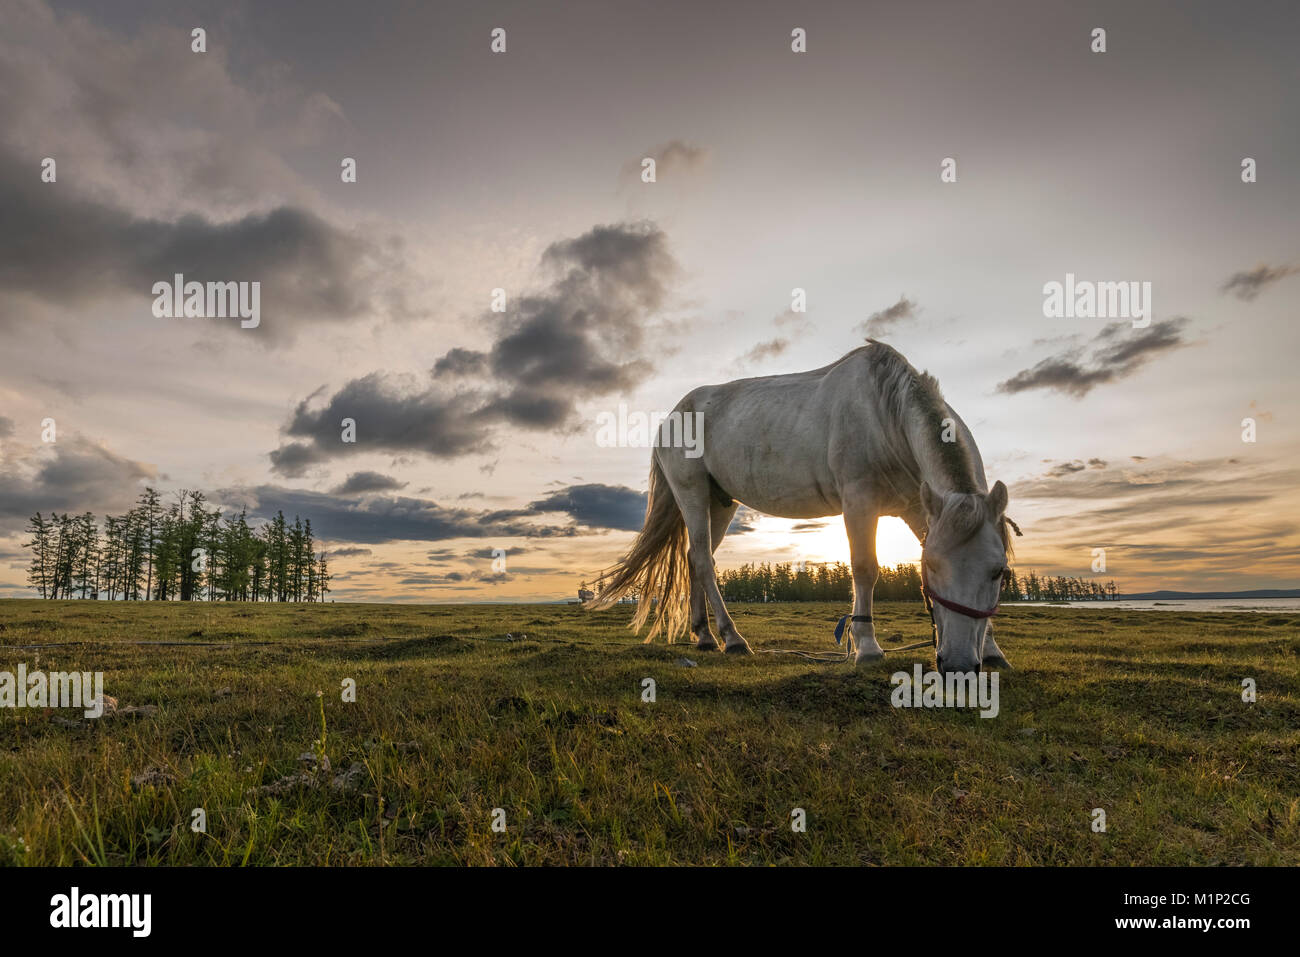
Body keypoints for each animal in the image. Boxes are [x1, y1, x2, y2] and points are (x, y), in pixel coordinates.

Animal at [595, 343, 1019, 670]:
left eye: (999, 572)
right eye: (931, 567)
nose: (960, 665)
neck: (887, 416)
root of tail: (671, 416)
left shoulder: (920, 508)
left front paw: (992, 650)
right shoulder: (859, 502)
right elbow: (865, 568)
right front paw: (867, 647)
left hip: (721, 503)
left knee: (694, 559)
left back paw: (704, 636)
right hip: (692, 493)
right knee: (702, 559)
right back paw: (732, 639)